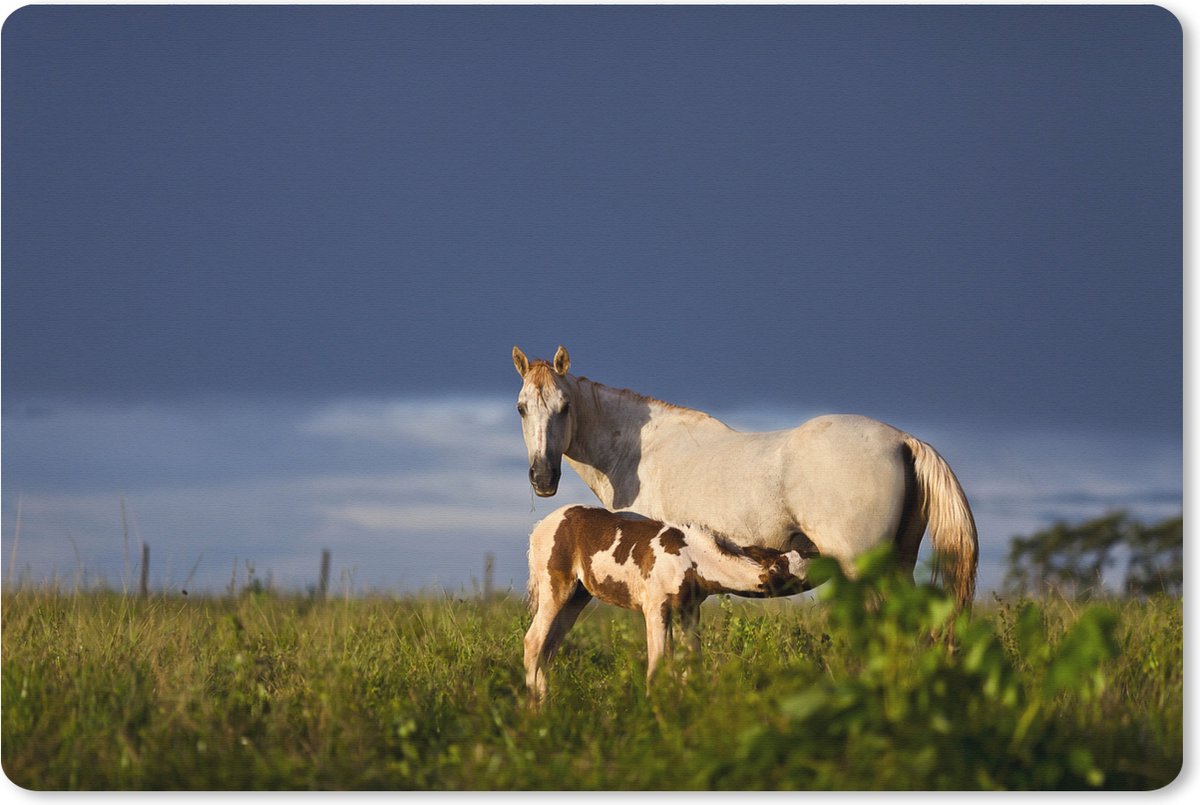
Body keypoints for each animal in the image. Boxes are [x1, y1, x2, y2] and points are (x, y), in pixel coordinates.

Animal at [512, 345, 978, 609]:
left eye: (565, 407)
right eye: (521, 408)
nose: (543, 478)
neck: (636, 452)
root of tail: (902, 439)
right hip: (898, 562)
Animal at [524, 504, 809, 701]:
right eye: (795, 565)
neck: (692, 557)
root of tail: (538, 528)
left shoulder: (688, 610)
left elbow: (690, 663)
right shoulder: (655, 607)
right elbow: (658, 664)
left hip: (577, 597)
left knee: (549, 646)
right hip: (556, 589)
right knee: (533, 641)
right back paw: (535, 709)